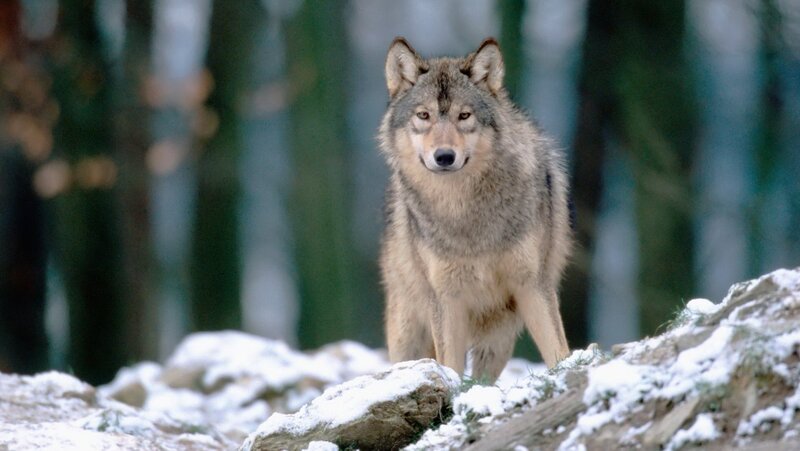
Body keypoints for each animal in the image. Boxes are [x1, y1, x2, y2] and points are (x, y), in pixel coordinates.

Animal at [378, 37, 572, 381]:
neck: (464, 212)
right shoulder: (446, 298)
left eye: (464, 116)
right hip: (408, 334)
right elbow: (451, 366)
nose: (444, 156)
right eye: (424, 115)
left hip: (498, 338)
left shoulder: (532, 284)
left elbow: (557, 350)